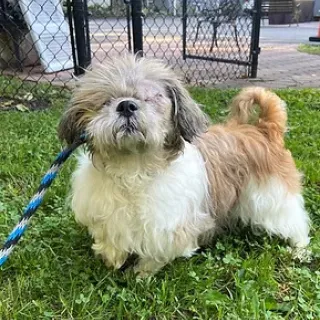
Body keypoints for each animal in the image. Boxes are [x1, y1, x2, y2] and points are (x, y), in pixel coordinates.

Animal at [57, 55, 310, 278]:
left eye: (151, 98)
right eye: (105, 101)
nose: (126, 105)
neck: (134, 166)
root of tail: (263, 129)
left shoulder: (168, 226)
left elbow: (156, 253)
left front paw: (141, 273)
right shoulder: (106, 215)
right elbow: (109, 239)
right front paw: (113, 259)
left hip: (271, 196)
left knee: (295, 222)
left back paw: (300, 249)